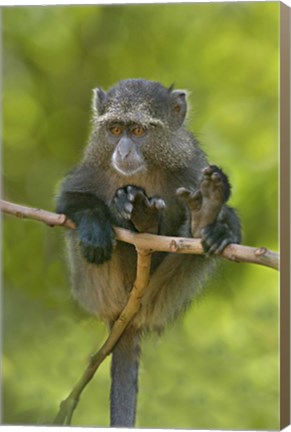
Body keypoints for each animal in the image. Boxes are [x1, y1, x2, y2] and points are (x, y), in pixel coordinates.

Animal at [55, 78, 242, 428]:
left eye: (139, 131)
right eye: (115, 130)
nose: (123, 150)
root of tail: (126, 318)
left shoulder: (193, 166)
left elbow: (232, 224)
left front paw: (220, 227)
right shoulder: (90, 168)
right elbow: (68, 202)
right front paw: (96, 224)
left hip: (162, 296)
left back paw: (202, 222)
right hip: (99, 288)